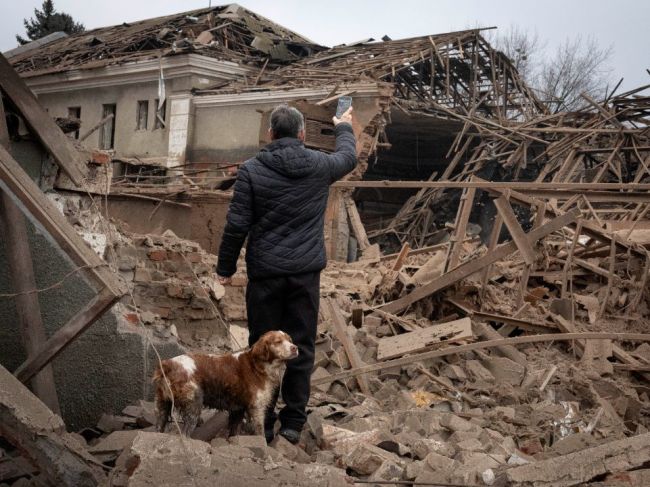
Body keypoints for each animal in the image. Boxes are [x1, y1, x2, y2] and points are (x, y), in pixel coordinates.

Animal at [152, 332, 296, 438]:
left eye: (289, 340)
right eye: (278, 342)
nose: (295, 347)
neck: (258, 366)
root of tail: (168, 364)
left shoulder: (238, 409)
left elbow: (234, 432)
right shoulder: (256, 408)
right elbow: (260, 434)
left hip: (162, 405)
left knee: (159, 428)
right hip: (193, 405)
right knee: (185, 434)